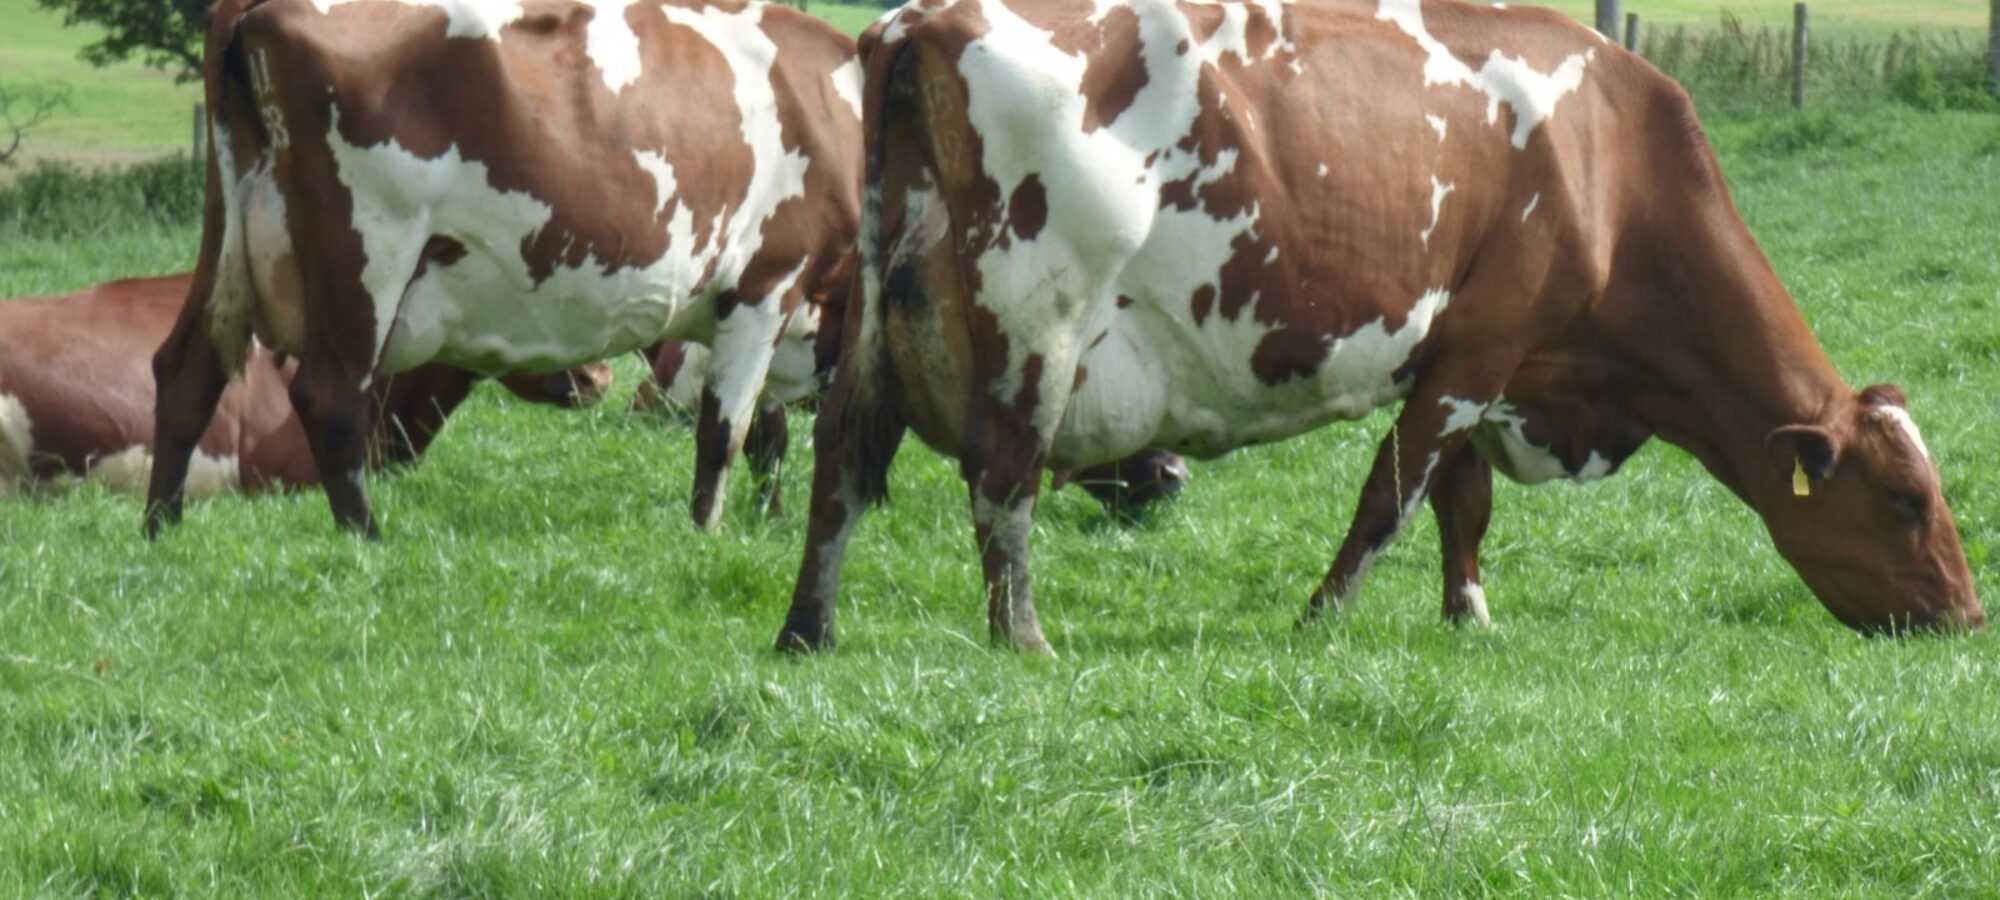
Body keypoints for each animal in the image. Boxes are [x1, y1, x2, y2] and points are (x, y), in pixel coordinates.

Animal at [146, 0, 861, 538]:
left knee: (189, 368)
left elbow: (767, 431)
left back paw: (162, 531)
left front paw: (766, 518)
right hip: (368, 258)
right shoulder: (767, 282)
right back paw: (366, 539)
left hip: (229, 239)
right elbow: (725, 432)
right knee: (330, 399)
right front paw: (707, 535)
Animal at [774, 0, 1983, 654]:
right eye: (1902, 498)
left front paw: (1468, 614)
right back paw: (1022, 637)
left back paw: (807, 631)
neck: (1610, 158)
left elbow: (1461, 499)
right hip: (1041, 325)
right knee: (1002, 482)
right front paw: (1320, 619)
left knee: (839, 463)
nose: (1968, 618)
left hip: (875, 330)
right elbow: (1391, 495)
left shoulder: (1486, 366)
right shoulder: (1477, 349)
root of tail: (919, 20)